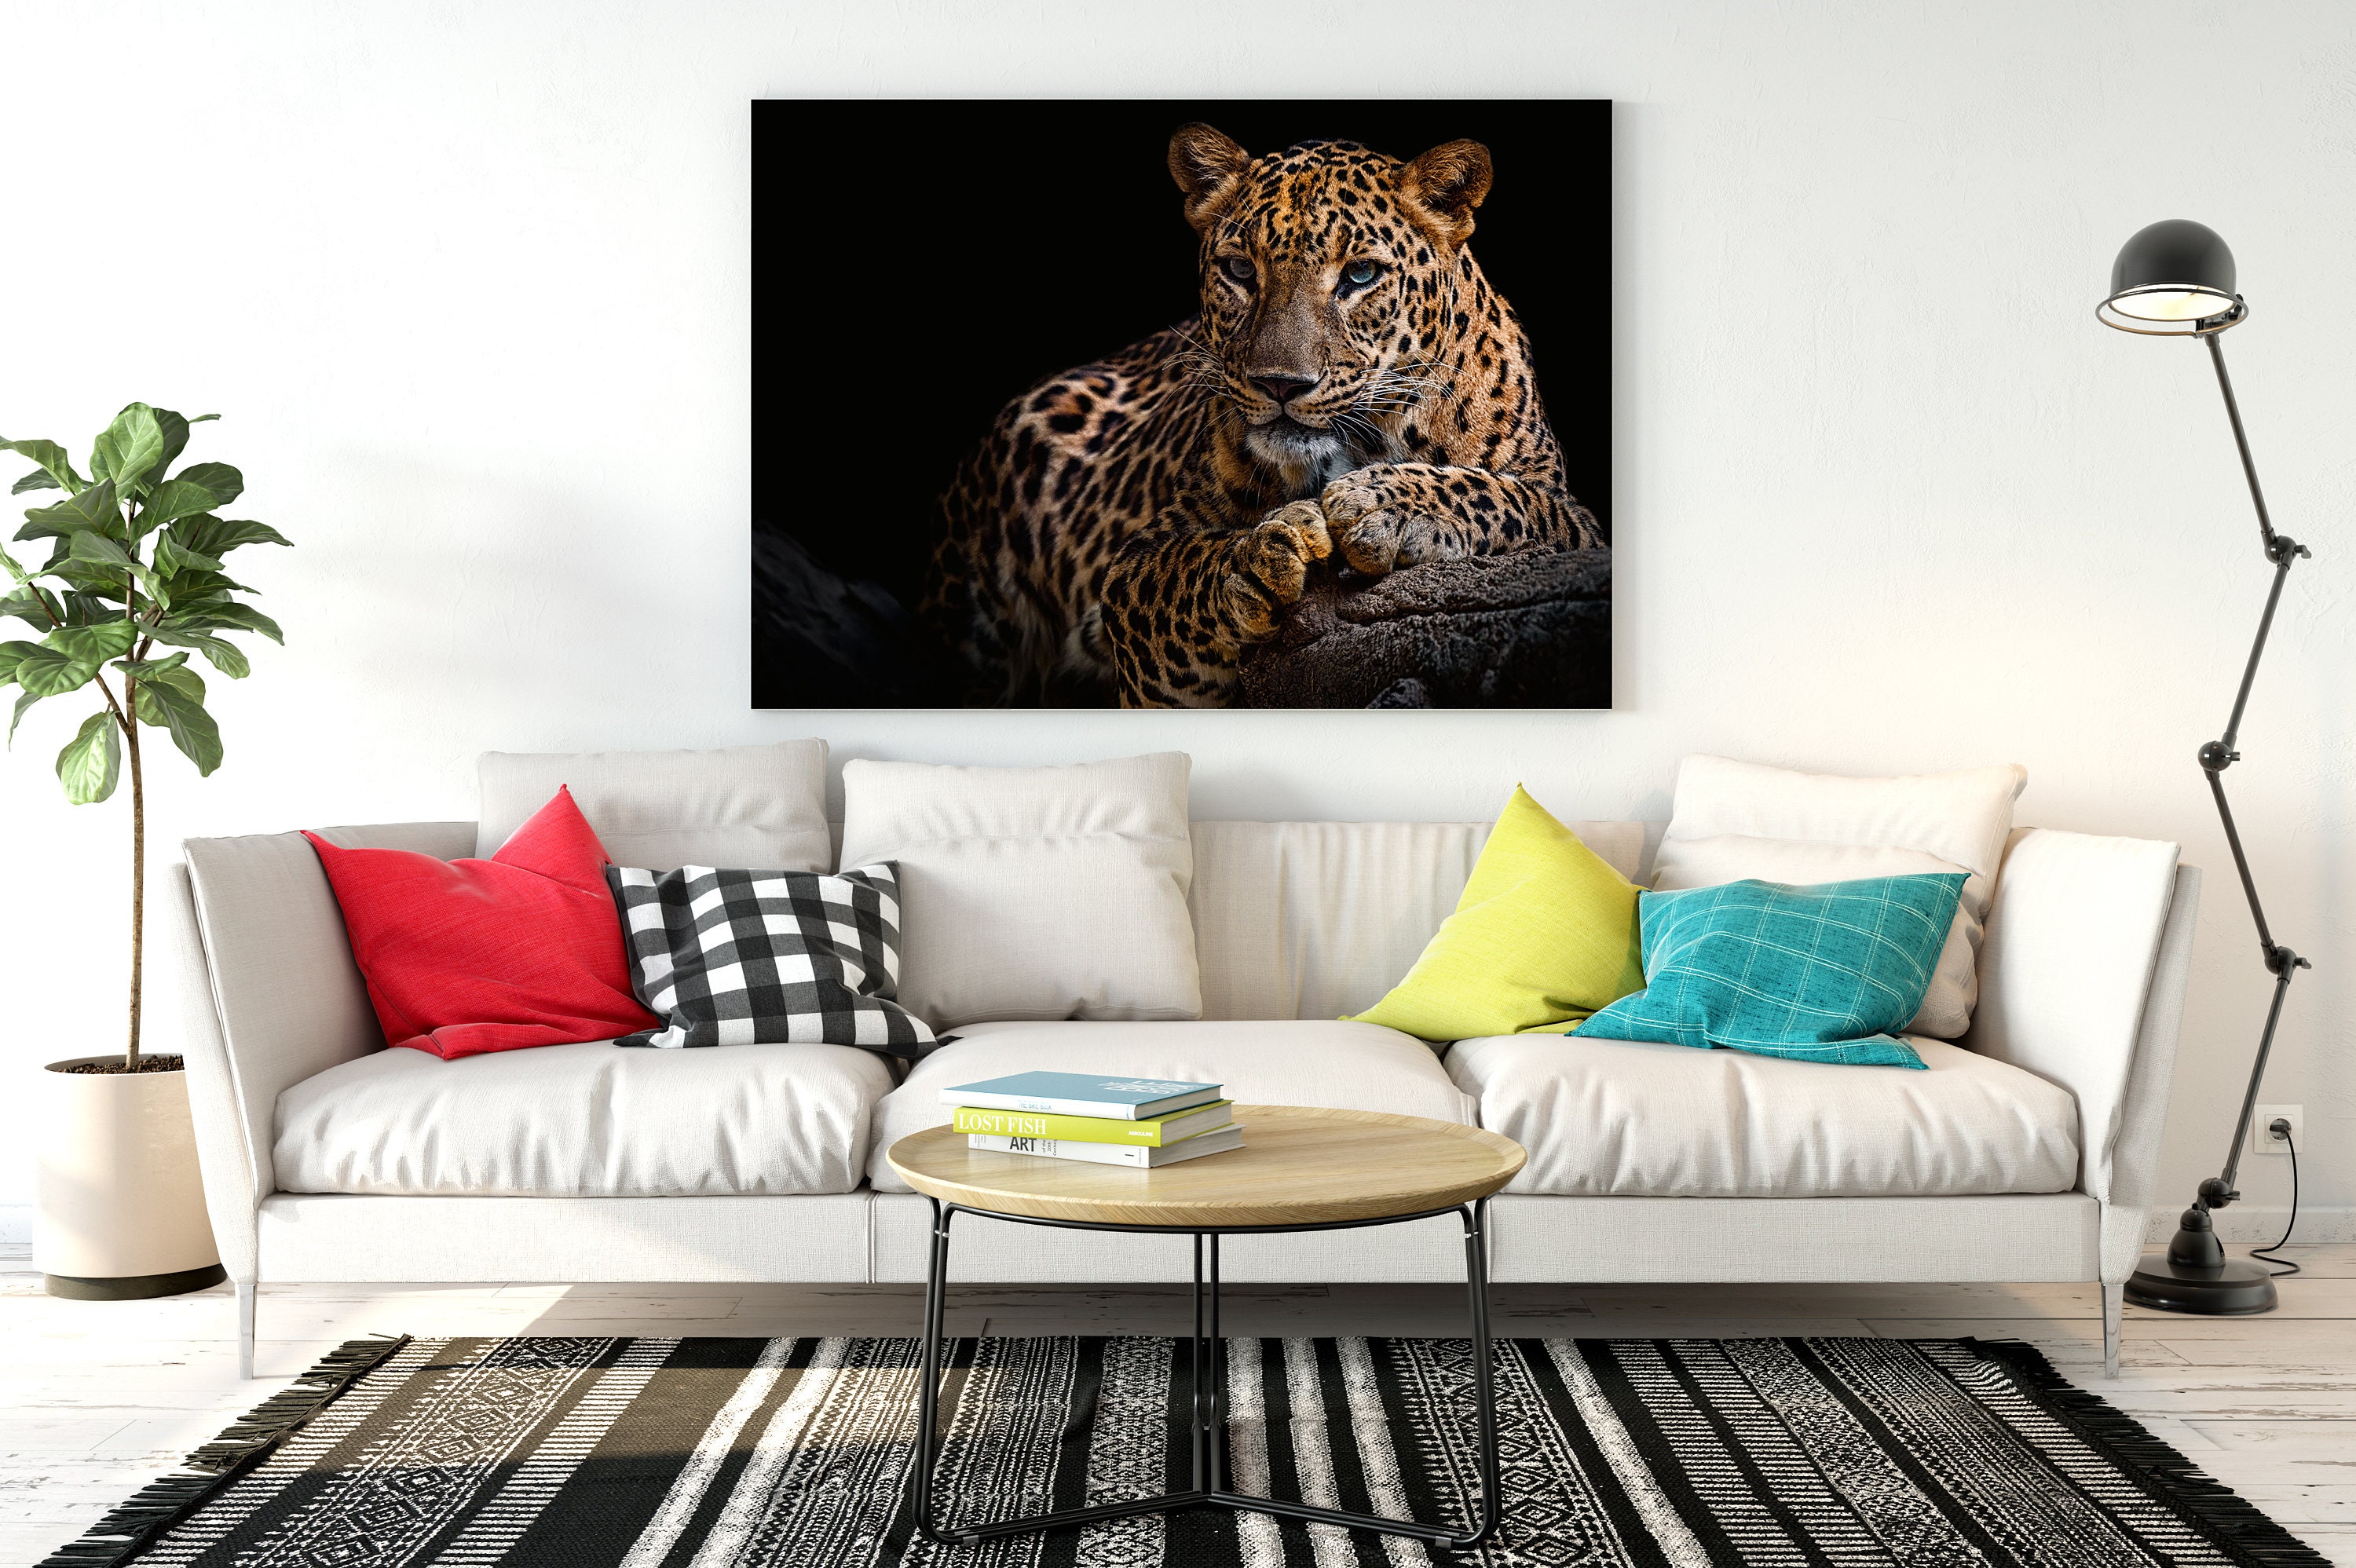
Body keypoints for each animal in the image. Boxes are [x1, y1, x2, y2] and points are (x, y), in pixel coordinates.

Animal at [920, 122, 1601, 708]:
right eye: (1240, 270)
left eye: (1360, 274)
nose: (1279, 383)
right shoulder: (1132, 570)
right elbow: (1177, 572)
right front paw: (1253, 561)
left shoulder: (1573, 519)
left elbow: (1502, 495)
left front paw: (1384, 504)